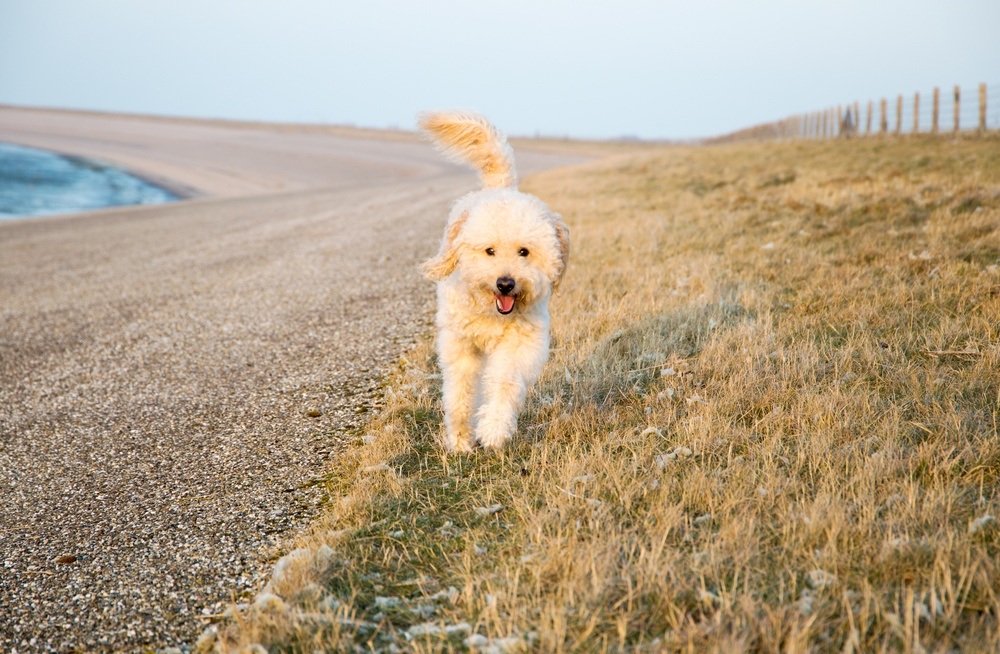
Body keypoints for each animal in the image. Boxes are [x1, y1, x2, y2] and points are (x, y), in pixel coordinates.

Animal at [416, 111, 572, 452]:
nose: (505, 283)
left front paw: (494, 429)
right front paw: (460, 439)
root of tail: (500, 188)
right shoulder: (460, 344)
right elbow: (460, 392)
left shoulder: (519, 344)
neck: (491, 313)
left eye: (524, 251)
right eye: (489, 251)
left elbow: (504, 383)